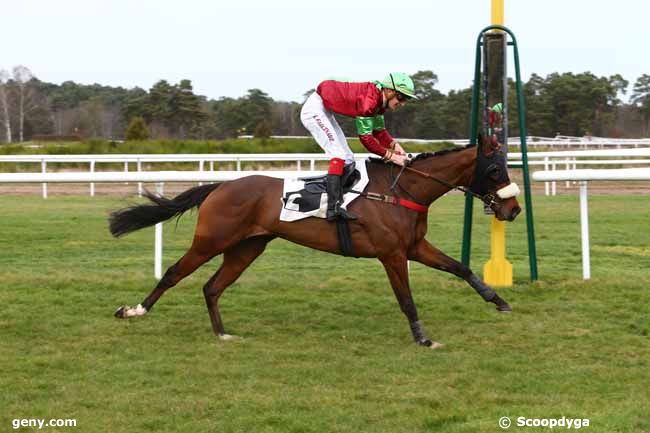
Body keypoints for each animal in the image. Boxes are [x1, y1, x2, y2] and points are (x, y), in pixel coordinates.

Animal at [109, 135, 520, 348]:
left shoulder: (414, 247)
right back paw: (134, 310)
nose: (513, 209)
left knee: (212, 286)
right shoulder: (391, 254)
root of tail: (220, 186)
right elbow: (406, 299)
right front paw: (423, 338)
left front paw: (499, 301)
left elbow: (460, 267)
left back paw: (223, 333)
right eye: (494, 169)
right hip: (211, 240)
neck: (402, 190)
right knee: (174, 273)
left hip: (247, 247)